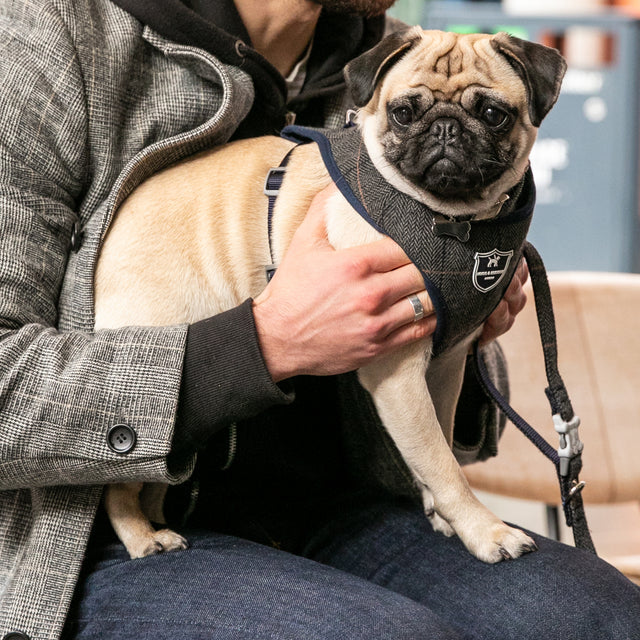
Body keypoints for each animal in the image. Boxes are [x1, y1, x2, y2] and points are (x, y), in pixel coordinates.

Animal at [95, 27, 564, 564]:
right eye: (404, 112)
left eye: (493, 114)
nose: (445, 128)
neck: (454, 222)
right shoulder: (398, 374)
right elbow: (442, 465)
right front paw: (483, 529)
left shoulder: (446, 366)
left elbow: (442, 443)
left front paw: (445, 517)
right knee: (119, 486)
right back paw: (143, 537)